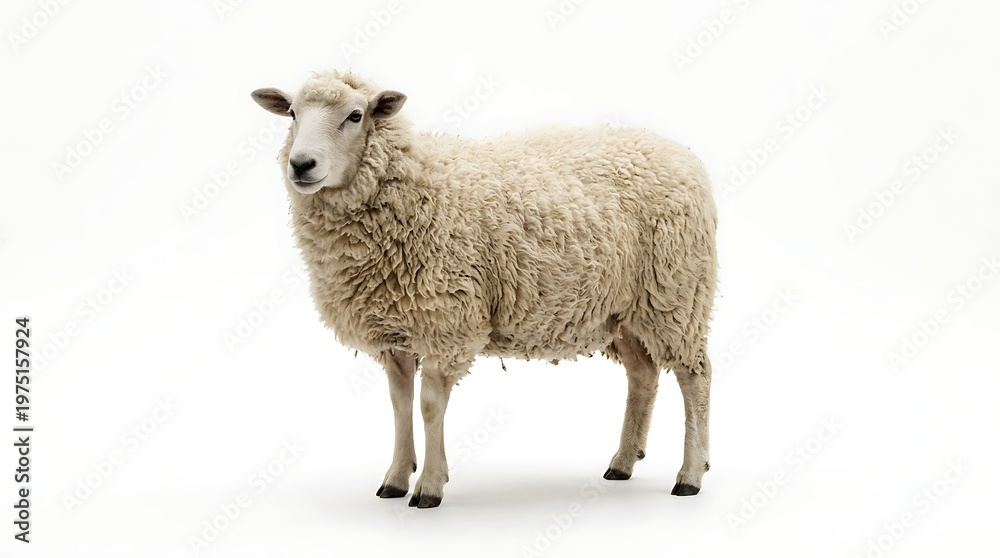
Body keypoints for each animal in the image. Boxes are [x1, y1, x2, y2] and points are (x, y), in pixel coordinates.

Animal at [250, 70, 718, 509]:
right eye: (292, 114)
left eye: (355, 115)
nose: (301, 164)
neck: (415, 187)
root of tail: (677, 152)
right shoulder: (395, 331)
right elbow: (400, 405)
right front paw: (396, 478)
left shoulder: (447, 323)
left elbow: (430, 406)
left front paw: (430, 486)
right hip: (624, 309)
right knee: (643, 375)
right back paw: (622, 462)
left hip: (676, 292)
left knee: (695, 376)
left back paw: (690, 475)